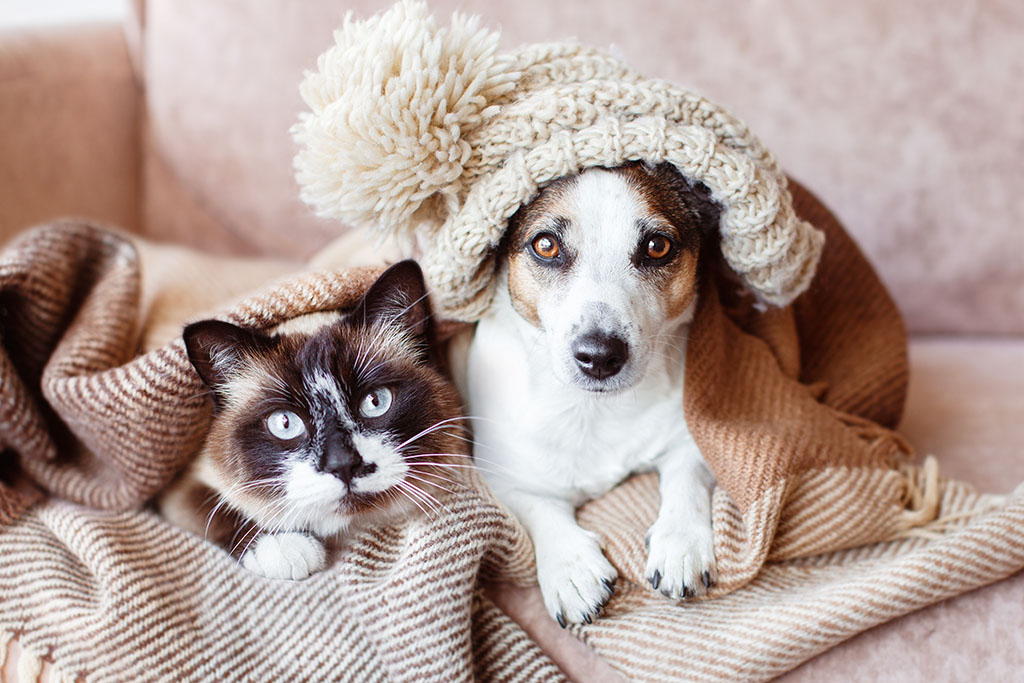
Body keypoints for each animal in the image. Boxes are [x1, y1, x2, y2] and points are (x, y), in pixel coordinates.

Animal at [159, 259, 464, 581]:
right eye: (285, 423)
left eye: (375, 402)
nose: (343, 465)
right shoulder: (180, 483)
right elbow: (217, 507)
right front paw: (285, 548)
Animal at [464, 160, 720, 626]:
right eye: (546, 245)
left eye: (657, 246)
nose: (600, 355)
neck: (593, 409)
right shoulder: (504, 479)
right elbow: (540, 509)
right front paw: (570, 569)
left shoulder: (687, 437)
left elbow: (686, 476)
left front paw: (681, 543)